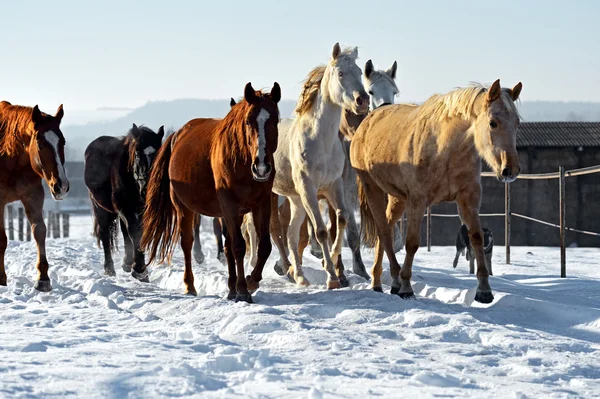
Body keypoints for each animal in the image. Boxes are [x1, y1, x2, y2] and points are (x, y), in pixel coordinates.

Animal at [0, 101, 69, 292]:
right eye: (40, 143)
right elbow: (2, 238)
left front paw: (43, 278)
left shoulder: (33, 197)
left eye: (62, 142)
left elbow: (39, 231)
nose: (61, 186)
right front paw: (1, 279)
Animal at [84, 123, 164, 280]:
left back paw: (126, 262)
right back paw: (109, 268)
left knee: (124, 231)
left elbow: (138, 233)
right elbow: (134, 232)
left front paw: (135, 265)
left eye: (159, 153)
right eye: (138, 154)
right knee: (105, 234)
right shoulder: (126, 208)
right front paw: (139, 269)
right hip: (100, 207)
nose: (147, 187)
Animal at [142, 83, 280, 304]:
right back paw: (190, 286)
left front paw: (251, 281)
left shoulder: (261, 203)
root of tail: (176, 136)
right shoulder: (230, 206)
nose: (261, 167)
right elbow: (238, 246)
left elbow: (264, 246)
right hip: (184, 208)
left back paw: (231, 288)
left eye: (275, 121)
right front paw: (243, 290)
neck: (241, 161)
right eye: (248, 121)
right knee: (187, 243)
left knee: (227, 245)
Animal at [270, 42, 368, 290]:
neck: (320, 140)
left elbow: (341, 219)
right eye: (341, 73)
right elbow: (322, 230)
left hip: (295, 200)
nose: (362, 100)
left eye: (360, 72)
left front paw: (330, 260)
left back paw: (300, 276)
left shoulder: (334, 185)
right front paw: (332, 277)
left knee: (291, 235)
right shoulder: (309, 189)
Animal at [350, 79, 524, 304]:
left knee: (384, 232)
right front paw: (407, 288)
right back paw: (391, 282)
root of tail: (367, 121)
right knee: (384, 233)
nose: (510, 170)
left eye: (517, 123)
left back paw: (382, 282)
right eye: (493, 122)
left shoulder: (468, 198)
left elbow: (476, 237)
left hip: (398, 199)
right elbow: (412, 243)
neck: (445, 148)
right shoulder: (418, 200)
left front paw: (484, 291)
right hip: (374, 190)